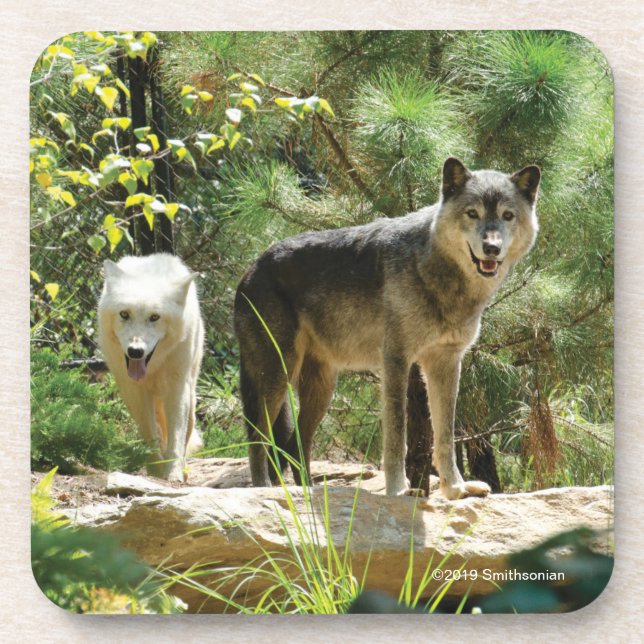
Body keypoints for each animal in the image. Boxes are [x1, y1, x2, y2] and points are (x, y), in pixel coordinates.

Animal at [97, 253, 204, 481]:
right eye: (124, 314)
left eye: (155, 317)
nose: (135, 351)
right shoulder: (135, 391)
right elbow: (150, 434)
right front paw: (156, 470)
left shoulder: (177, 388)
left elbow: (176, 437)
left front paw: (173, 474)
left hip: (190, 396)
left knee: (186, 432)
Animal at [235, 158, 540, 499]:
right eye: (472, 213)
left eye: (507, 216)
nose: (491, 247)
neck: (436, 273)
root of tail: (251, 269)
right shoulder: (396, 359)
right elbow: (396, 435)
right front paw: (398, 490)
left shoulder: (446, 363)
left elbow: (445, 437)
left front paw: (456, 488)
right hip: (277, 376)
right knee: (258, 440)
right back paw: (262, 491)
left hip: (321, 389)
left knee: (295, 445)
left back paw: (311, 495)